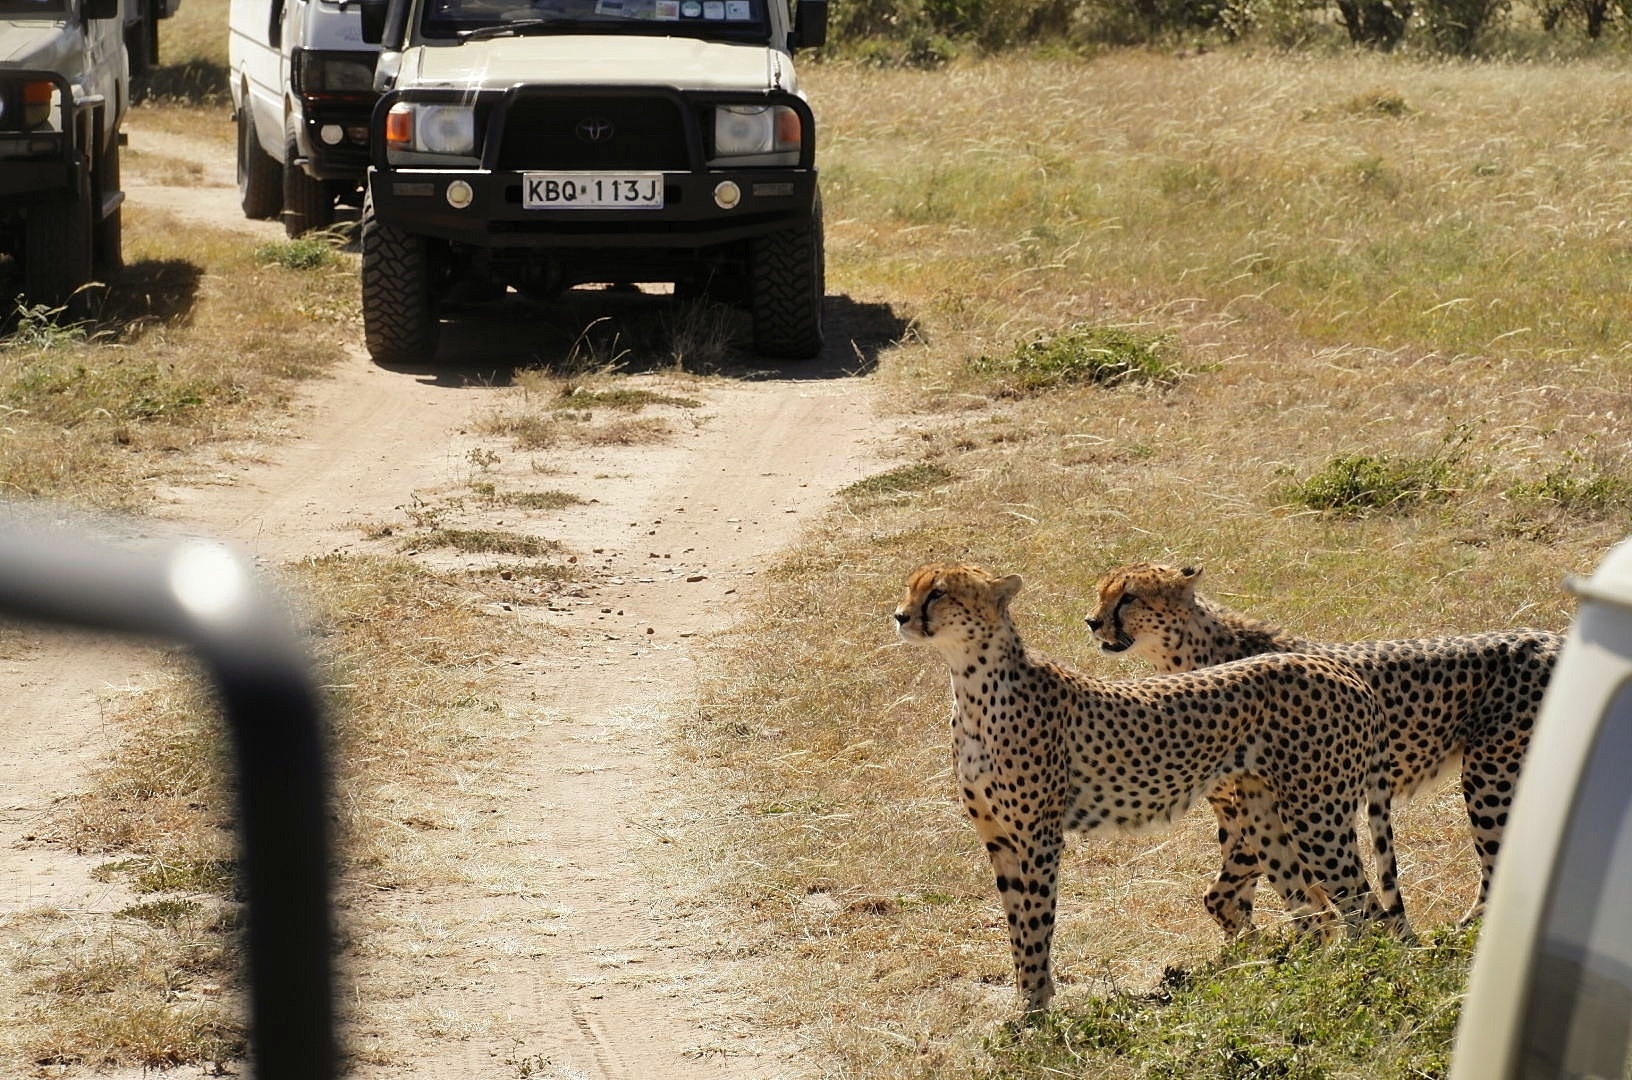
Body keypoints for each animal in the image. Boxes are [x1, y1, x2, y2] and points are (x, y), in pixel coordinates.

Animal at [894, 567, 1403, 1018]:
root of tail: (1337, 667)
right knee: (1319, 913)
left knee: (1366, 910)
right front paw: (1025, 1002)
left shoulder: (1039, 838)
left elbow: (1037, 923)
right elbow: (1017, 926)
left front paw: (1035, 1013)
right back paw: (1305, 980)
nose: (900, 615)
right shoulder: (998, 839)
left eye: (938, 592)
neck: (972, 682)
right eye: (910, 586)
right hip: (1267, 818)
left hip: (1316, 816)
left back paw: (1360, 986)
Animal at [1083, 557, 1553, 933]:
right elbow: (1243, 891)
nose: (1091, 621)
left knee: (1499, 865)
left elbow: (1230, 889)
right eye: (1102, 593)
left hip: (1490, 777)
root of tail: (1551, 637)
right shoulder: (1240, 806)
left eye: (1128, 597)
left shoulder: (1264, 800)